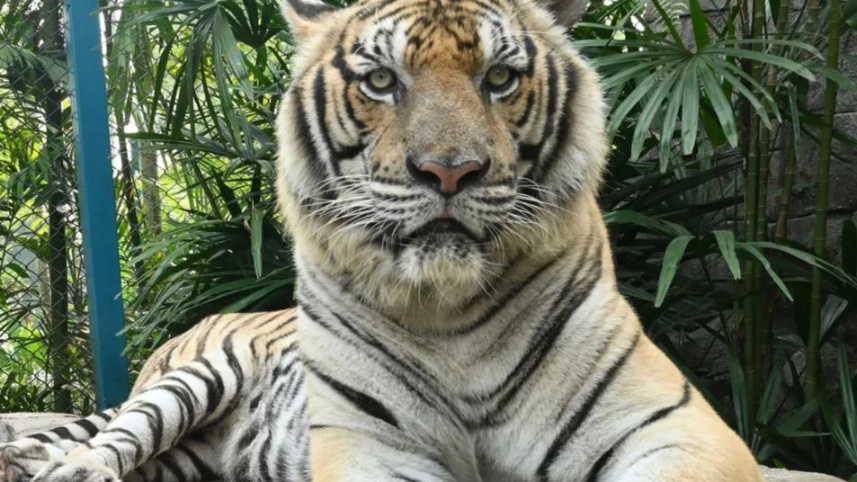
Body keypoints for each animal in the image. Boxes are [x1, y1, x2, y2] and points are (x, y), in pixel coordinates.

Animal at [0, 0, 766, 480]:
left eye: (499, 78)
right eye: (379, 81)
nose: (449, 170)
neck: (451, 315)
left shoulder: (673, 426)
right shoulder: (368, 443)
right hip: (192, 380)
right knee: (112, 437)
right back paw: (69, 470)